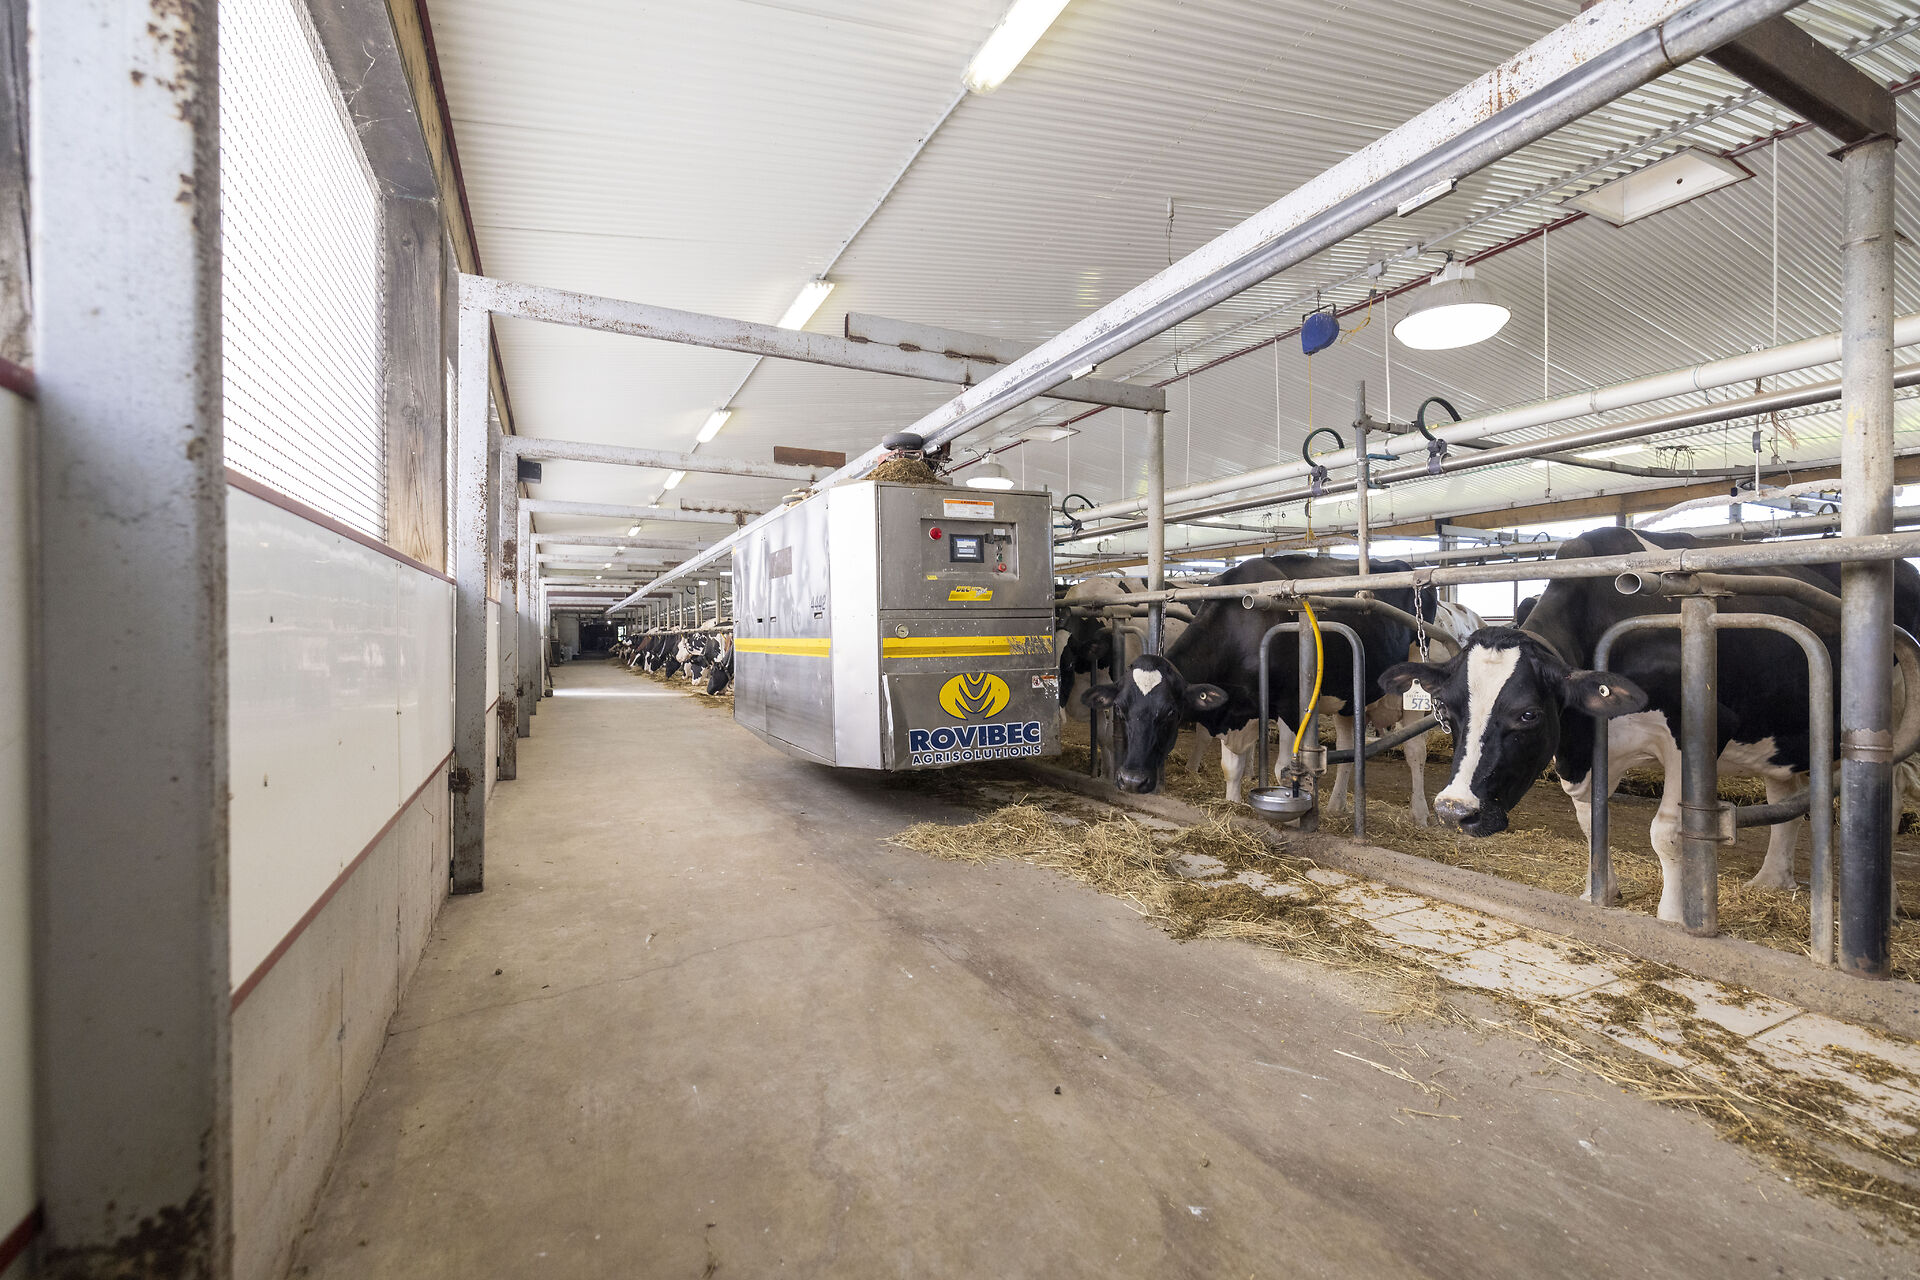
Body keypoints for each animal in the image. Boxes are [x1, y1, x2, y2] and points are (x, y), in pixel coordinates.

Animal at [1083, 555, 1437, 812]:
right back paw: (1337, 806)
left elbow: (1286, 768)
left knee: (1415, 750)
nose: (1131, 780)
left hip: (1412, 683)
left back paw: (1419, 814)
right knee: (1350, 746)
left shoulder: (1291, 705)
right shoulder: (1237, 707)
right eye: (1121, 709)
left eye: (1170, 712)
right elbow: (1231, 766)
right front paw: (1233, 804)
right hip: (1347, 696)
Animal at [1378, 525, 1920, 922]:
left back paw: (1889, 905)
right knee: (1785, 794)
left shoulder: (1696, 730)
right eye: (1448, 710)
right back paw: (1770, 882)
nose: (1453, 812)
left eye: (1527, 714)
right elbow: (1590, 818)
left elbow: (1667, 831)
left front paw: (1673, 916)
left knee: (1890, 796)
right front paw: (1599, 892)